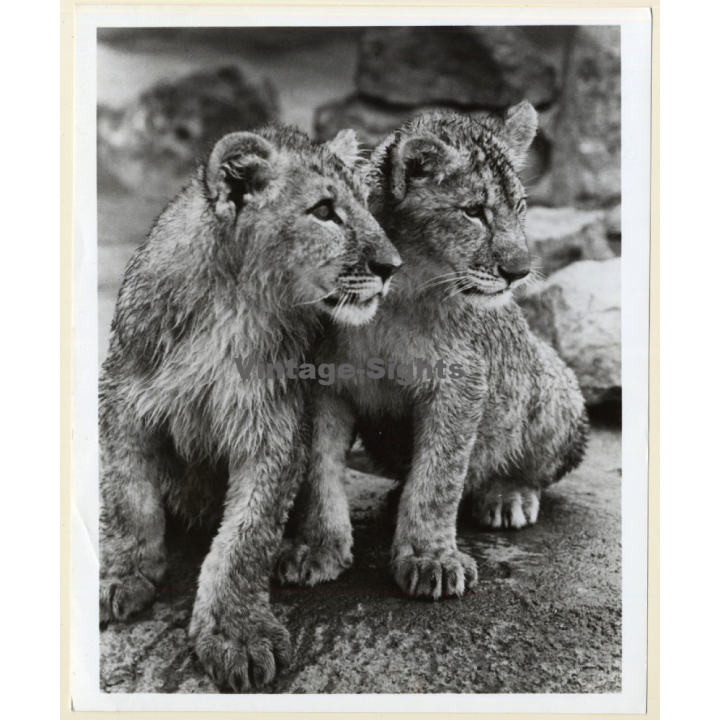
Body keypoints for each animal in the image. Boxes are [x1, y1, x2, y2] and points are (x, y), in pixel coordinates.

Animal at [98, 124, 401, 691]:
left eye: (366, 204)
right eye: (324, 210)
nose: (392, 266)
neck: (234, 306)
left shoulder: (276, 427)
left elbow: (247, 538)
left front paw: (236, 633)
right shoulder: (123, 401)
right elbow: (127, 498)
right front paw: (120, 574)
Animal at [276, 103, 588, 599]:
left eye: (520, 208)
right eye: (473, 212)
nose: (520, 272)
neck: (397, 296)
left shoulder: (461, 384)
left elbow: (440, 476)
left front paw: (430, 558)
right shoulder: (323, 385)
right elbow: (319, 474)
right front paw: (317, 547)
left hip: (552, 386)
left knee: (527, 469)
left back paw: (508, 495)